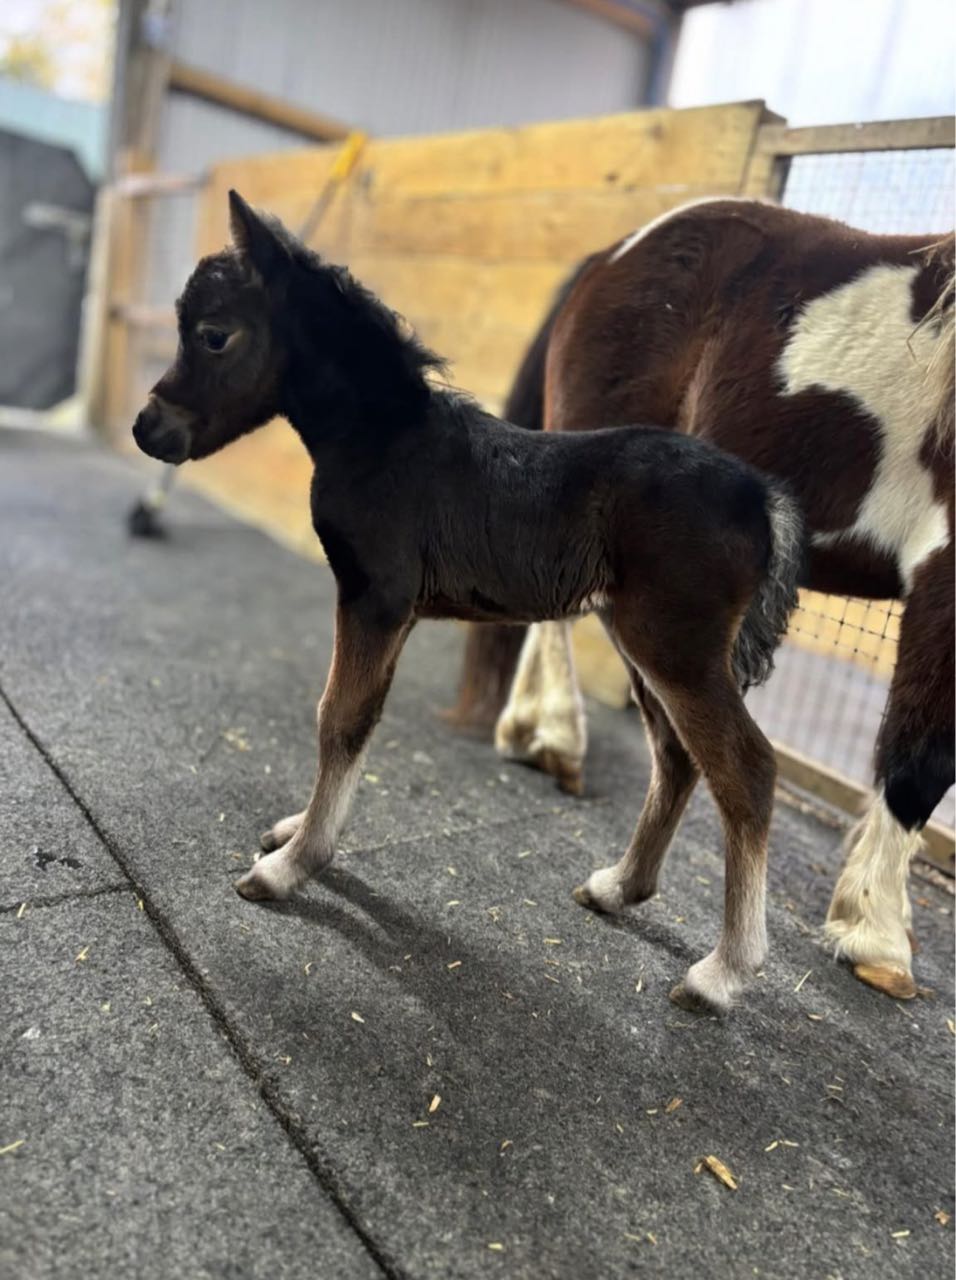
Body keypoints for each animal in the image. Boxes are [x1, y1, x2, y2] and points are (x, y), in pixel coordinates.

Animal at [132, 190, 805, 1014]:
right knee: (678, 755)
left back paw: (723, 971)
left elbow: (338, 718)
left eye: (214, 335)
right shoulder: (391, 610)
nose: (148, 429)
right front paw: (300, 832)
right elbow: (359, 720)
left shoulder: (375, 598)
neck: (385, 440)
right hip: (645, 641)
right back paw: (620, 888)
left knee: (746, 770)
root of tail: (764, 499)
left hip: (676, 648)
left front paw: (290, 867)